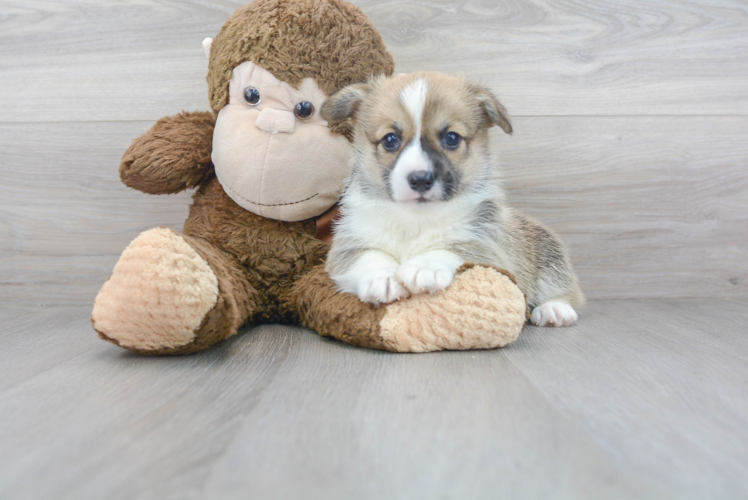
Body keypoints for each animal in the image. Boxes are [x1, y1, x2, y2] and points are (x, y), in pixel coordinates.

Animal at [322, 71, 584, 328]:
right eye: (390, 139)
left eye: (451, 138)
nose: (420, 179)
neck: (415, 219)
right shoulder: (347, 246)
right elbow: (369, 256)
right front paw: (383, 277)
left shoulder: (486, 247)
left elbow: (453, 247)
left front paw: (424, 266)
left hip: (549, 256)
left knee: (566, 289)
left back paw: (554, 309)